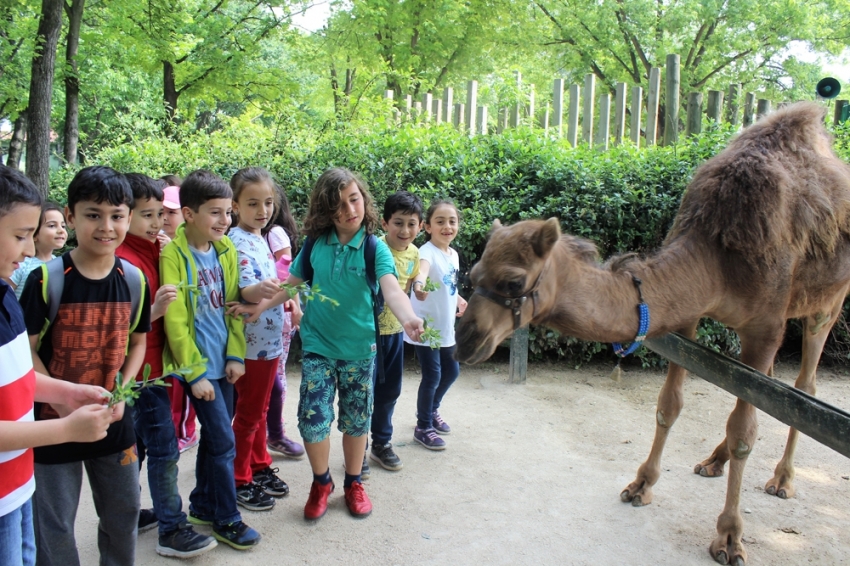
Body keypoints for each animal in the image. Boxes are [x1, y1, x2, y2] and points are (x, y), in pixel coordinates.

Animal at [458, 103, 850, 566]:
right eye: (473, 274)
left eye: (514, 282)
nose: (464, 338)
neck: (719, 257)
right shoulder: (686, 317)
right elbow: (669, 406)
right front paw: (641, 484)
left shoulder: (767, 326)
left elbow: (744, 431)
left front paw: (729, 537)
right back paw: (713, 461)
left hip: (827, 303)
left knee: (803, 387)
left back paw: (783, 479)